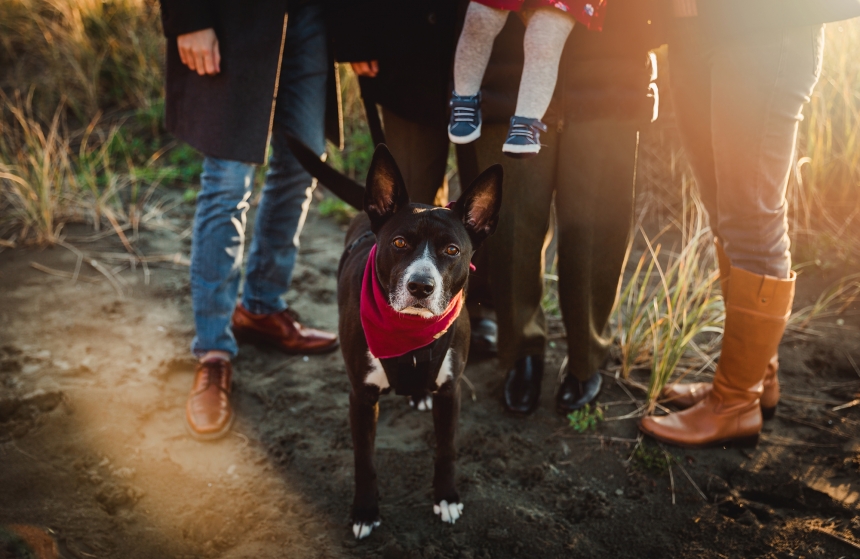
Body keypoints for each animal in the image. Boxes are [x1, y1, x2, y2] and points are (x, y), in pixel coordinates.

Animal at [330, 147, 504, 540]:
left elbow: (446, 449)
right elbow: (364, 458)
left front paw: (447, 498)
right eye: (399, 243)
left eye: (452, 250)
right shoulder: (361, 396)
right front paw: (365, 511)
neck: (409, 329)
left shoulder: (451, 391)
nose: (421, 287)